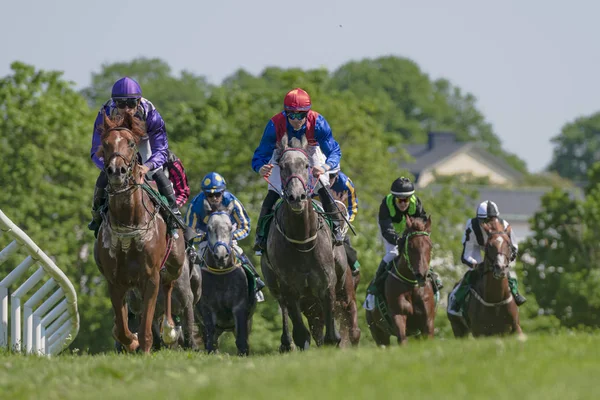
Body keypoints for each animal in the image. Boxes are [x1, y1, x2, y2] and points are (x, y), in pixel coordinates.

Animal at [94, 111, 186, 354]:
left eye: (131, 143)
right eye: (105, 144)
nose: (116, 171)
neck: (129, 222)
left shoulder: (151, 277)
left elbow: (146, 323)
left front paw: (144, 345)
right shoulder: (114, 280)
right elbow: (122, 326)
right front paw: (131, 340)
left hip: (174, 264)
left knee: (169, 285)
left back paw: (169, 329)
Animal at [196, 202, 254, 354]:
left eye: (230, 228)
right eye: (209, 228)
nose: (221, 256)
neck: (221, 275)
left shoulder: (240, 306)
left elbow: (242, 341)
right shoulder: (207, 308)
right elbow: (211, 342)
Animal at [258, 134, 360, 350]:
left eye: (305, 165)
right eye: (282, 166)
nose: (296, 196)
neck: (302, 240)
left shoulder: (327, 283)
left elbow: (332, 333)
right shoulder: (290, 288)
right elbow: (301, 332)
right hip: (280, 288)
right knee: (285, 309)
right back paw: (286, 342)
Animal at [364, 217, 434, 346]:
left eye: (430, 245)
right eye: (410, 246)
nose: (421, 275)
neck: (412, 285)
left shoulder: (428, 321)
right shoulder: (398, 314)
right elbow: (402, 338)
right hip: (378, 331)